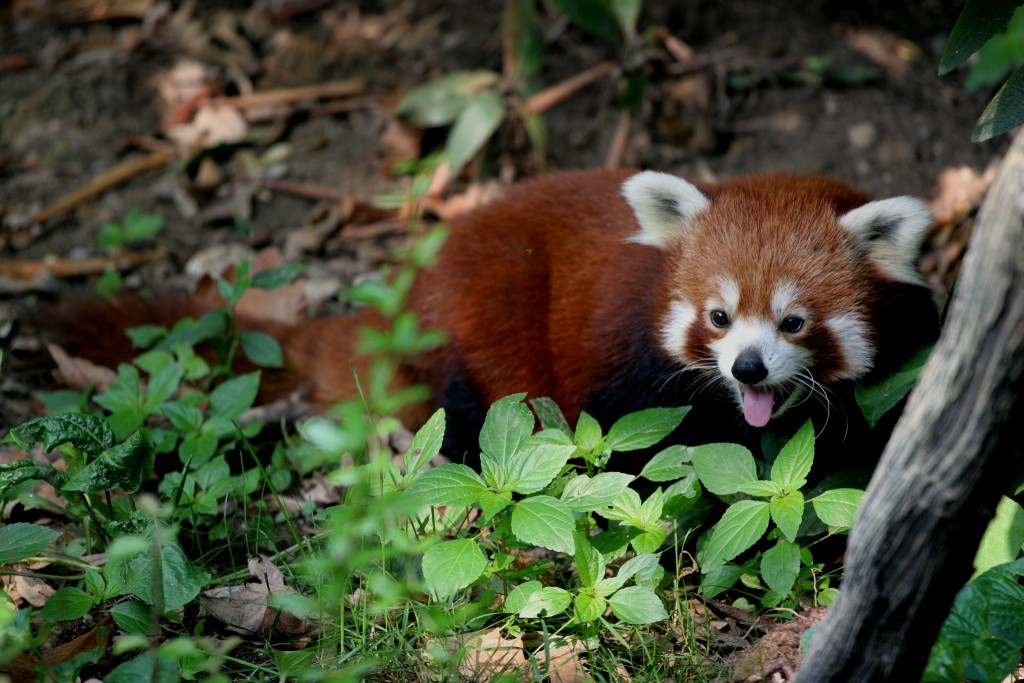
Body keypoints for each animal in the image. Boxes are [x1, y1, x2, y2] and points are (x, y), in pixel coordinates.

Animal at [49, 167, 942, 462]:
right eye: (719, 317)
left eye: (793, 323)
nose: (747, 368)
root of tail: (405, 287)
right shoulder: (628, 364)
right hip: (480, 317)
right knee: (470, 407)